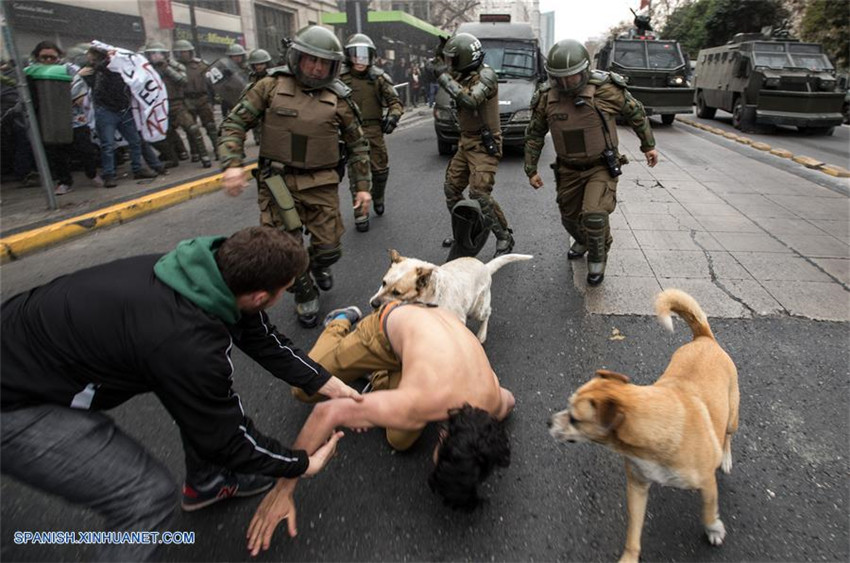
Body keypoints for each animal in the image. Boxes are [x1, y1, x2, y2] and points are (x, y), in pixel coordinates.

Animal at [366, 250, 528, 344]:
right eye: (383, 282)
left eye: (397, 292)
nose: (373, 303)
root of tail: (485, 266)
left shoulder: (457, 319)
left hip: (478, 309)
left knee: (487, 313)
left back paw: (482, 334)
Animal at [548, 290, 736, 563]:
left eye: (574, 419)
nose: (548, 422)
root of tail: (703, 337)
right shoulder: (637, 486)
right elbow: (633, 531)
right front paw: (629, 557)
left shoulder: (707, 483)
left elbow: (709, 511)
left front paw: (713, 528)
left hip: (732, 414)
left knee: (728, 435)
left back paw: (726, 457)